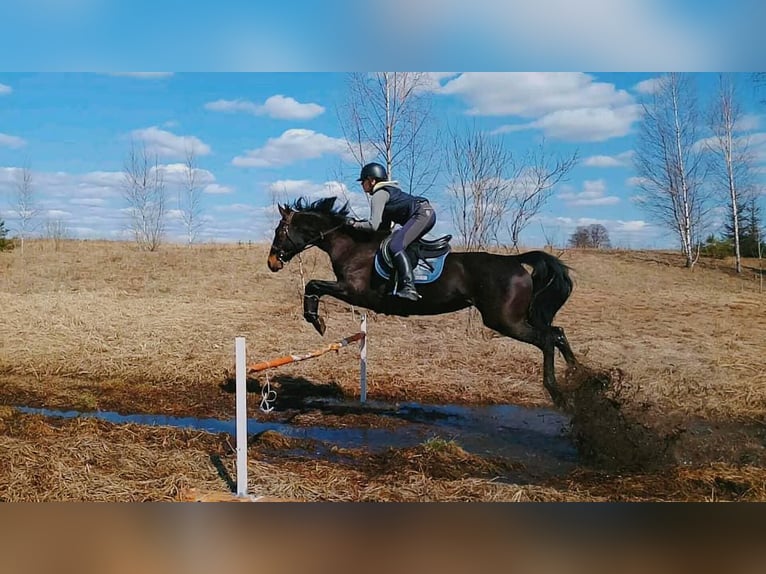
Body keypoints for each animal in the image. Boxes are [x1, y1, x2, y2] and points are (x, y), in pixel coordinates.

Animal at [268, 196, 580, 408]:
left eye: (280, 231)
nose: (272, 263)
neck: (352, 246)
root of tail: (516, 261)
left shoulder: (354, 291)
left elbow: (313, 284)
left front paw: (316, 320)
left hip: (504, 320)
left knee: (547, 339)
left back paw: (557, 391)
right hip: (512, 318)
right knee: (557, 332)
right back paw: (582, 376)